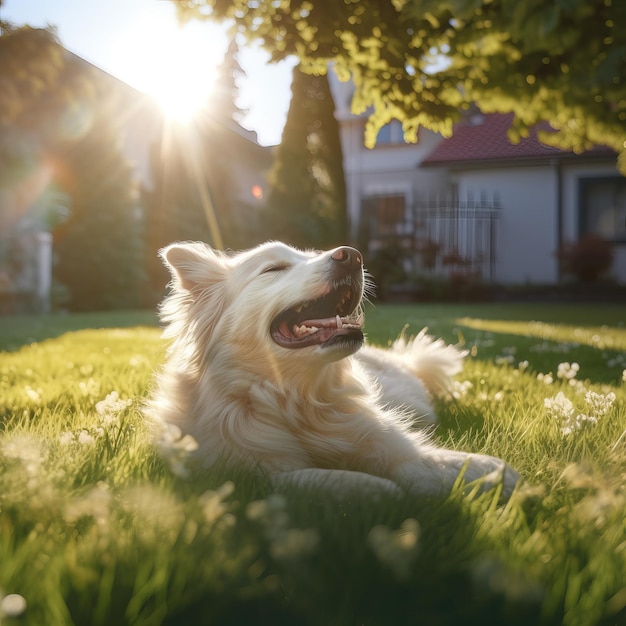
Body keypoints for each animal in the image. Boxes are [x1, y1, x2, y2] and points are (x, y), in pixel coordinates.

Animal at [146, 241, 516, 500]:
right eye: (273, 268)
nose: (352, 255)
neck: (296, 400)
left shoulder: (387, 440)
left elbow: (429, 462)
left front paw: (493, 472)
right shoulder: (245, 474)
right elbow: (317, 477)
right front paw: (378, 490)